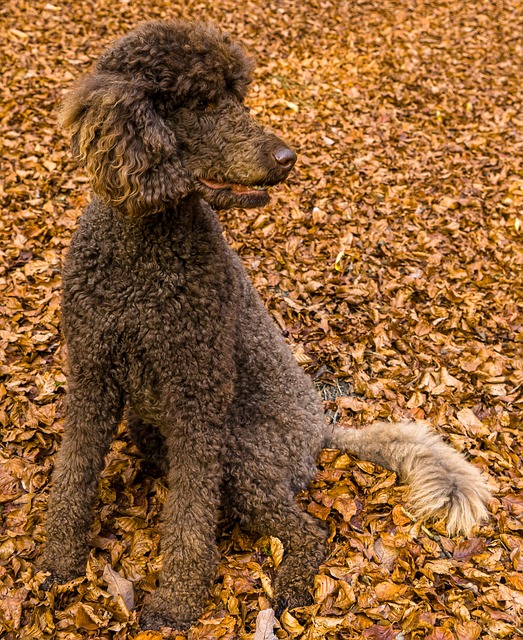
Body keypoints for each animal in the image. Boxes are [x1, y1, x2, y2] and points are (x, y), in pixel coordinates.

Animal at [43, 18, 494, 632]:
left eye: (239, 97)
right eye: (202, 103)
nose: (287, 157)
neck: (143, 249)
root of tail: (320, 429)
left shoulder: (198, 395)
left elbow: (190, 516)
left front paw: (177, 602)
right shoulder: (92, 371)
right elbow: (73, 472)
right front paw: (58, 562)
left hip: (245, 453)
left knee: (307, 531)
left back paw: (293, 587)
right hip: (154, 423)